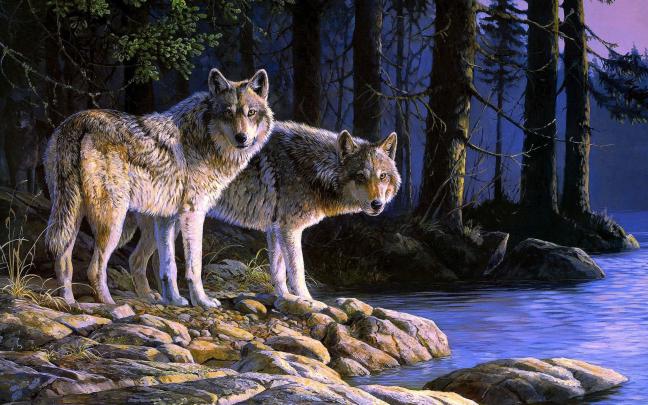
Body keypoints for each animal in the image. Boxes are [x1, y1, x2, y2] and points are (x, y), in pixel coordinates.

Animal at [44, 68, 274, 308]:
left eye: (251, 113)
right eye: (228, 113)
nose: (242, 138)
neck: (206, 137)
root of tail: (77, 121)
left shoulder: (167, 218)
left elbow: (167, 266)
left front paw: (175, 300)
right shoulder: (193, 213)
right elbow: (194, 265)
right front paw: (202, 301)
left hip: (75, 216)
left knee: (68, 261)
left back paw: (72, 303)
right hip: (113, 221)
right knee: (94, 268)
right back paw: (111, 304)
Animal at [126, 122, 400, 300]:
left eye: (382, 176)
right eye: (360, 177)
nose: (377, 204)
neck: (314, 168)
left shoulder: (276, 229)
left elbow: (278, 271)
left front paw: (286, 299)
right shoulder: (290, 229)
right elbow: (297, 270)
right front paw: (310, 302)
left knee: (143, 260)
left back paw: (156, 298)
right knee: (145, 261)